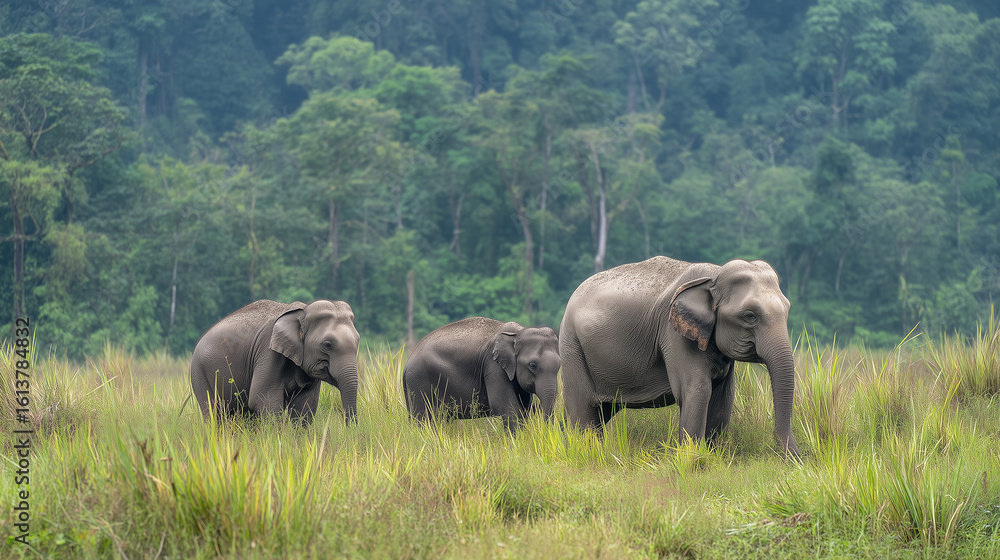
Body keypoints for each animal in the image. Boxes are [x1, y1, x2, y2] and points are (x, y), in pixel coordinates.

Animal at [190, 299, 360, 425]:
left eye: (358, 341)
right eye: (327, 345)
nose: (350, 431)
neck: (303, 311)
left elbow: (305, 405)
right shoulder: (268, 352)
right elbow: (262, 399)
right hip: (199, 372)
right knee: (213, 412)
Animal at [402, 317, 560, 431]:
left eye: (559, 365)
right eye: (532, 365)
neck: (518, 332)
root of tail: (407, 363)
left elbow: (523, 407)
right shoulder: (492, 365)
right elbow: (503, 405)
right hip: (419, 381)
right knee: (424, 418)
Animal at [559, 256, 800, 457]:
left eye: (788, 309)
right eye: (749, 316)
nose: (793, 457)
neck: (714, 275)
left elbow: (723, 395)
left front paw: (712, 456)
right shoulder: (674, 334)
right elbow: (696, 390)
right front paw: (691, 458)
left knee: (601, 413)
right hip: (571, 347)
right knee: (584, 411)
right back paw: (587, 453)